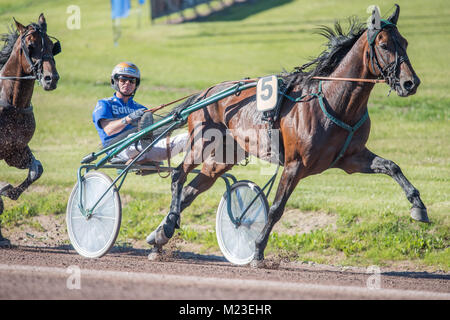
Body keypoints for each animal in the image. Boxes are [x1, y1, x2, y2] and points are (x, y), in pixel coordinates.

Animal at [0, 13, 59, 246]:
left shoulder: (13, 150)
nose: (51, 79)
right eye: (31, 46)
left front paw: (10, 192)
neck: (13, 104)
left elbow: (36, 169)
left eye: (52, 46)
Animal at [147, 5, 428, 266]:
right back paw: (167, 226)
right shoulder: (295, 164)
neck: (334, 102)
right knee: (178, 175)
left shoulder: (351, 158)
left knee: (190, 190)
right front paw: (257, 251)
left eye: (404, 42)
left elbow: (392, 166)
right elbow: (276, 209)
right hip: (202, 142)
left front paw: (418, 207)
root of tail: (206, 92)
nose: (410, 83)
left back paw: (160, 236)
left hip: (224, 156)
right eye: (384, 45)